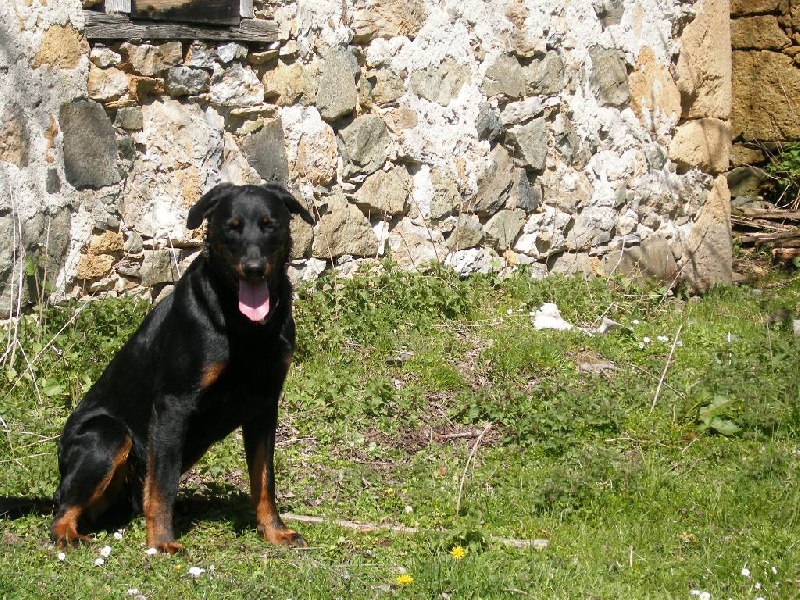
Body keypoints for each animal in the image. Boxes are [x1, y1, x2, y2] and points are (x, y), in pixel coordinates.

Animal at [49, 183, 312, 552]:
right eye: (231, 226)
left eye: (269, 224)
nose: (254, 268)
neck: (246, 327)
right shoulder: (174, 404)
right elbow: (163, 482)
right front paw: (161, 541)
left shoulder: (264, 404)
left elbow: (264, 478)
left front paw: (274, 530)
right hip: (107, 435)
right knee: (63, 507)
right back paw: (68, 533)